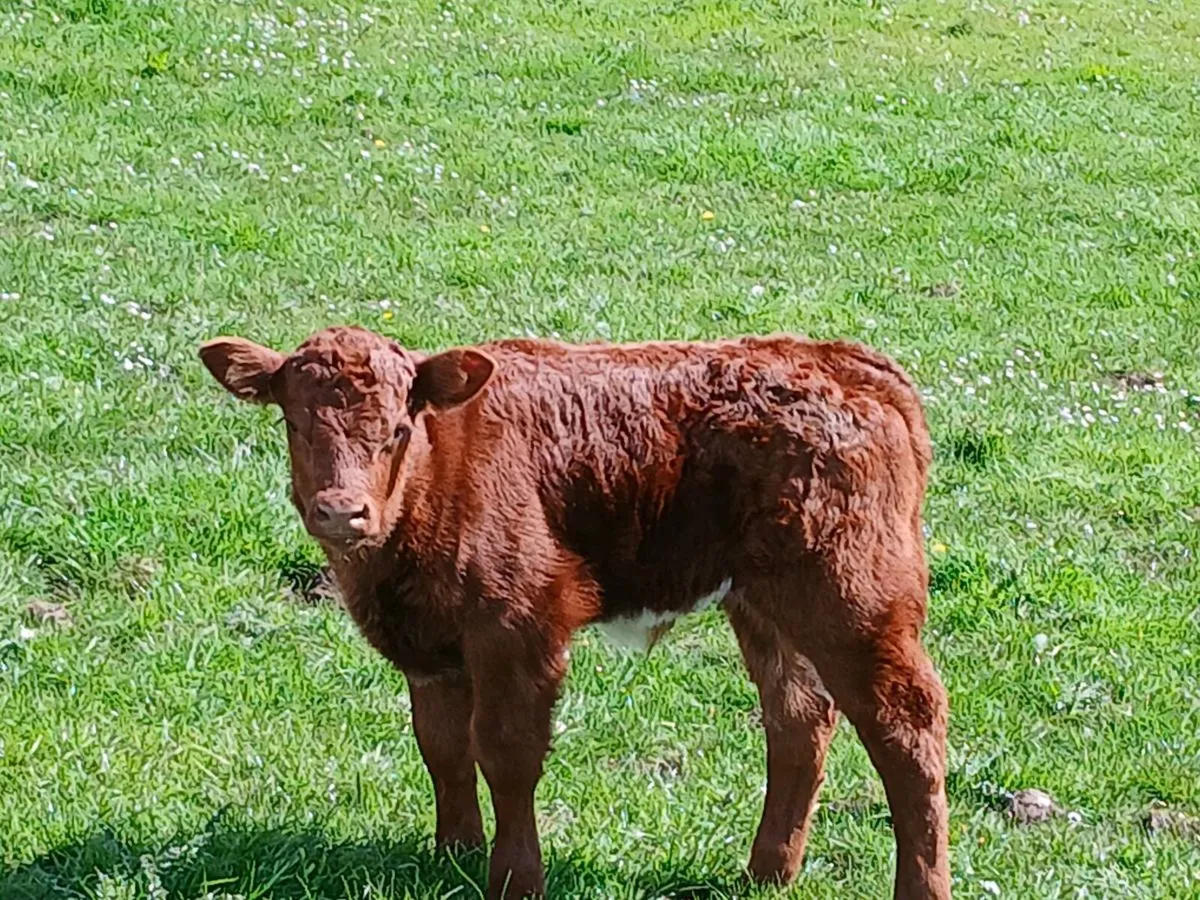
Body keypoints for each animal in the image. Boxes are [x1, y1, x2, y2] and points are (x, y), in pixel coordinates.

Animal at [199, 325, 950, 899]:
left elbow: (506, 751)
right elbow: (442, 746)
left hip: (853, 601)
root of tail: (838, 360)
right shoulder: (433, 649)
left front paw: (514, 877)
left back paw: (918, 886)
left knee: (906, 729)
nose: (340, 510)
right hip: (767, 605)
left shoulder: (517, 625)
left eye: (395, 430)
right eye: (294, 422)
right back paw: (766, 874)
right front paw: (454, 855)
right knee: (798, 719)